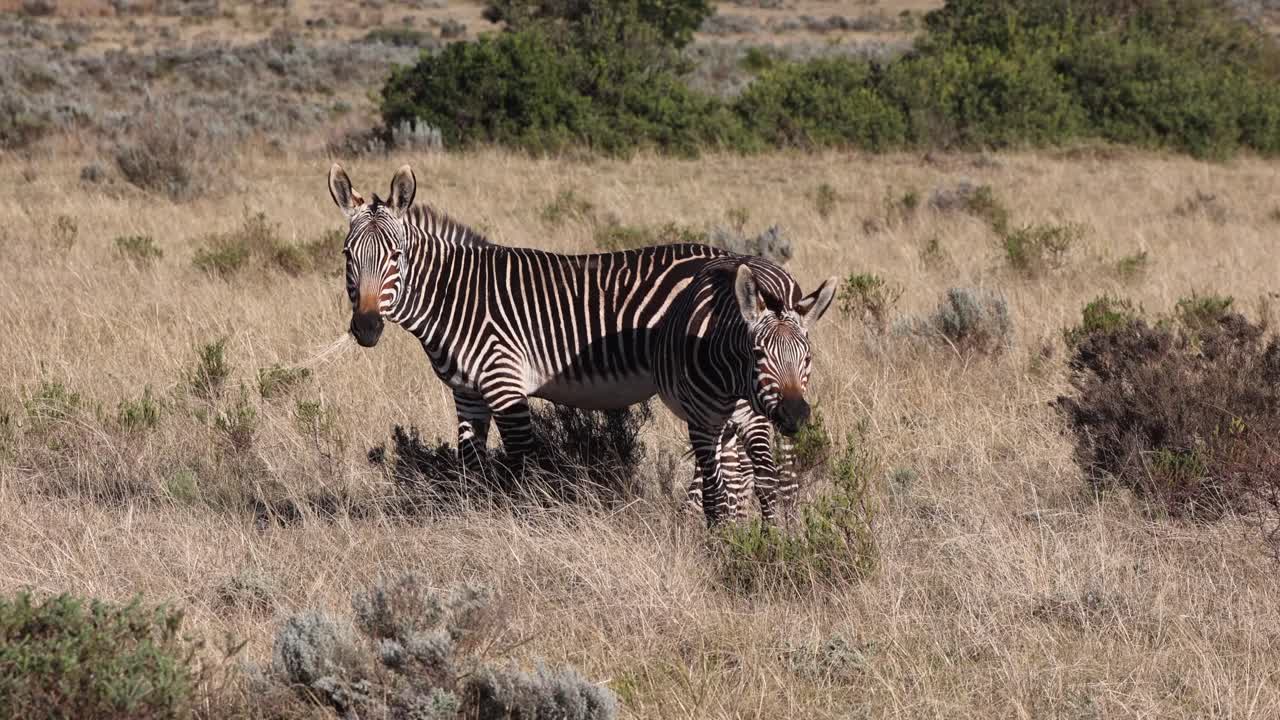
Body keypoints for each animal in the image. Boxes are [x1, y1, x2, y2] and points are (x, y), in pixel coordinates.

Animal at [655, 255, 836, 524]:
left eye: (807, 358)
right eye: (758, 354)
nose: (795, 414)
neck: (731, 383)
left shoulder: (755, 419)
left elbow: (766, 481)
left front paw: (771, 534)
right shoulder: (701, 425)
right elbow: (715, 490)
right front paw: (723, 533)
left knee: (787, 480)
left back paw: (791, 527)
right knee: (727, 479)